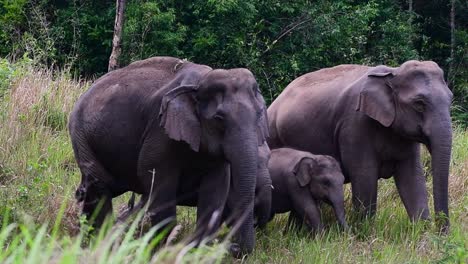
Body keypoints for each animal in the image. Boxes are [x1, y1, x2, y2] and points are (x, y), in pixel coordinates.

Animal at [67, 55, 268, 254]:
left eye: (259, 114)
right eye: (219, 118)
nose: (234, 247)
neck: (201, 80)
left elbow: (215, 190)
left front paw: (195, 251)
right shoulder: (159, 129)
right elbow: (156, 178)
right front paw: (162, 249)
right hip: (81, 135)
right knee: (99, 187)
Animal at [266, 60, 454, 231]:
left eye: (450, 100)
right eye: (419, 104)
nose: (442, 231)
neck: (392, 73)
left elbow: (412, 176)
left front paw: (423, 234)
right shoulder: (354, 126)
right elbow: (365, 176)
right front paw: (365, 232)